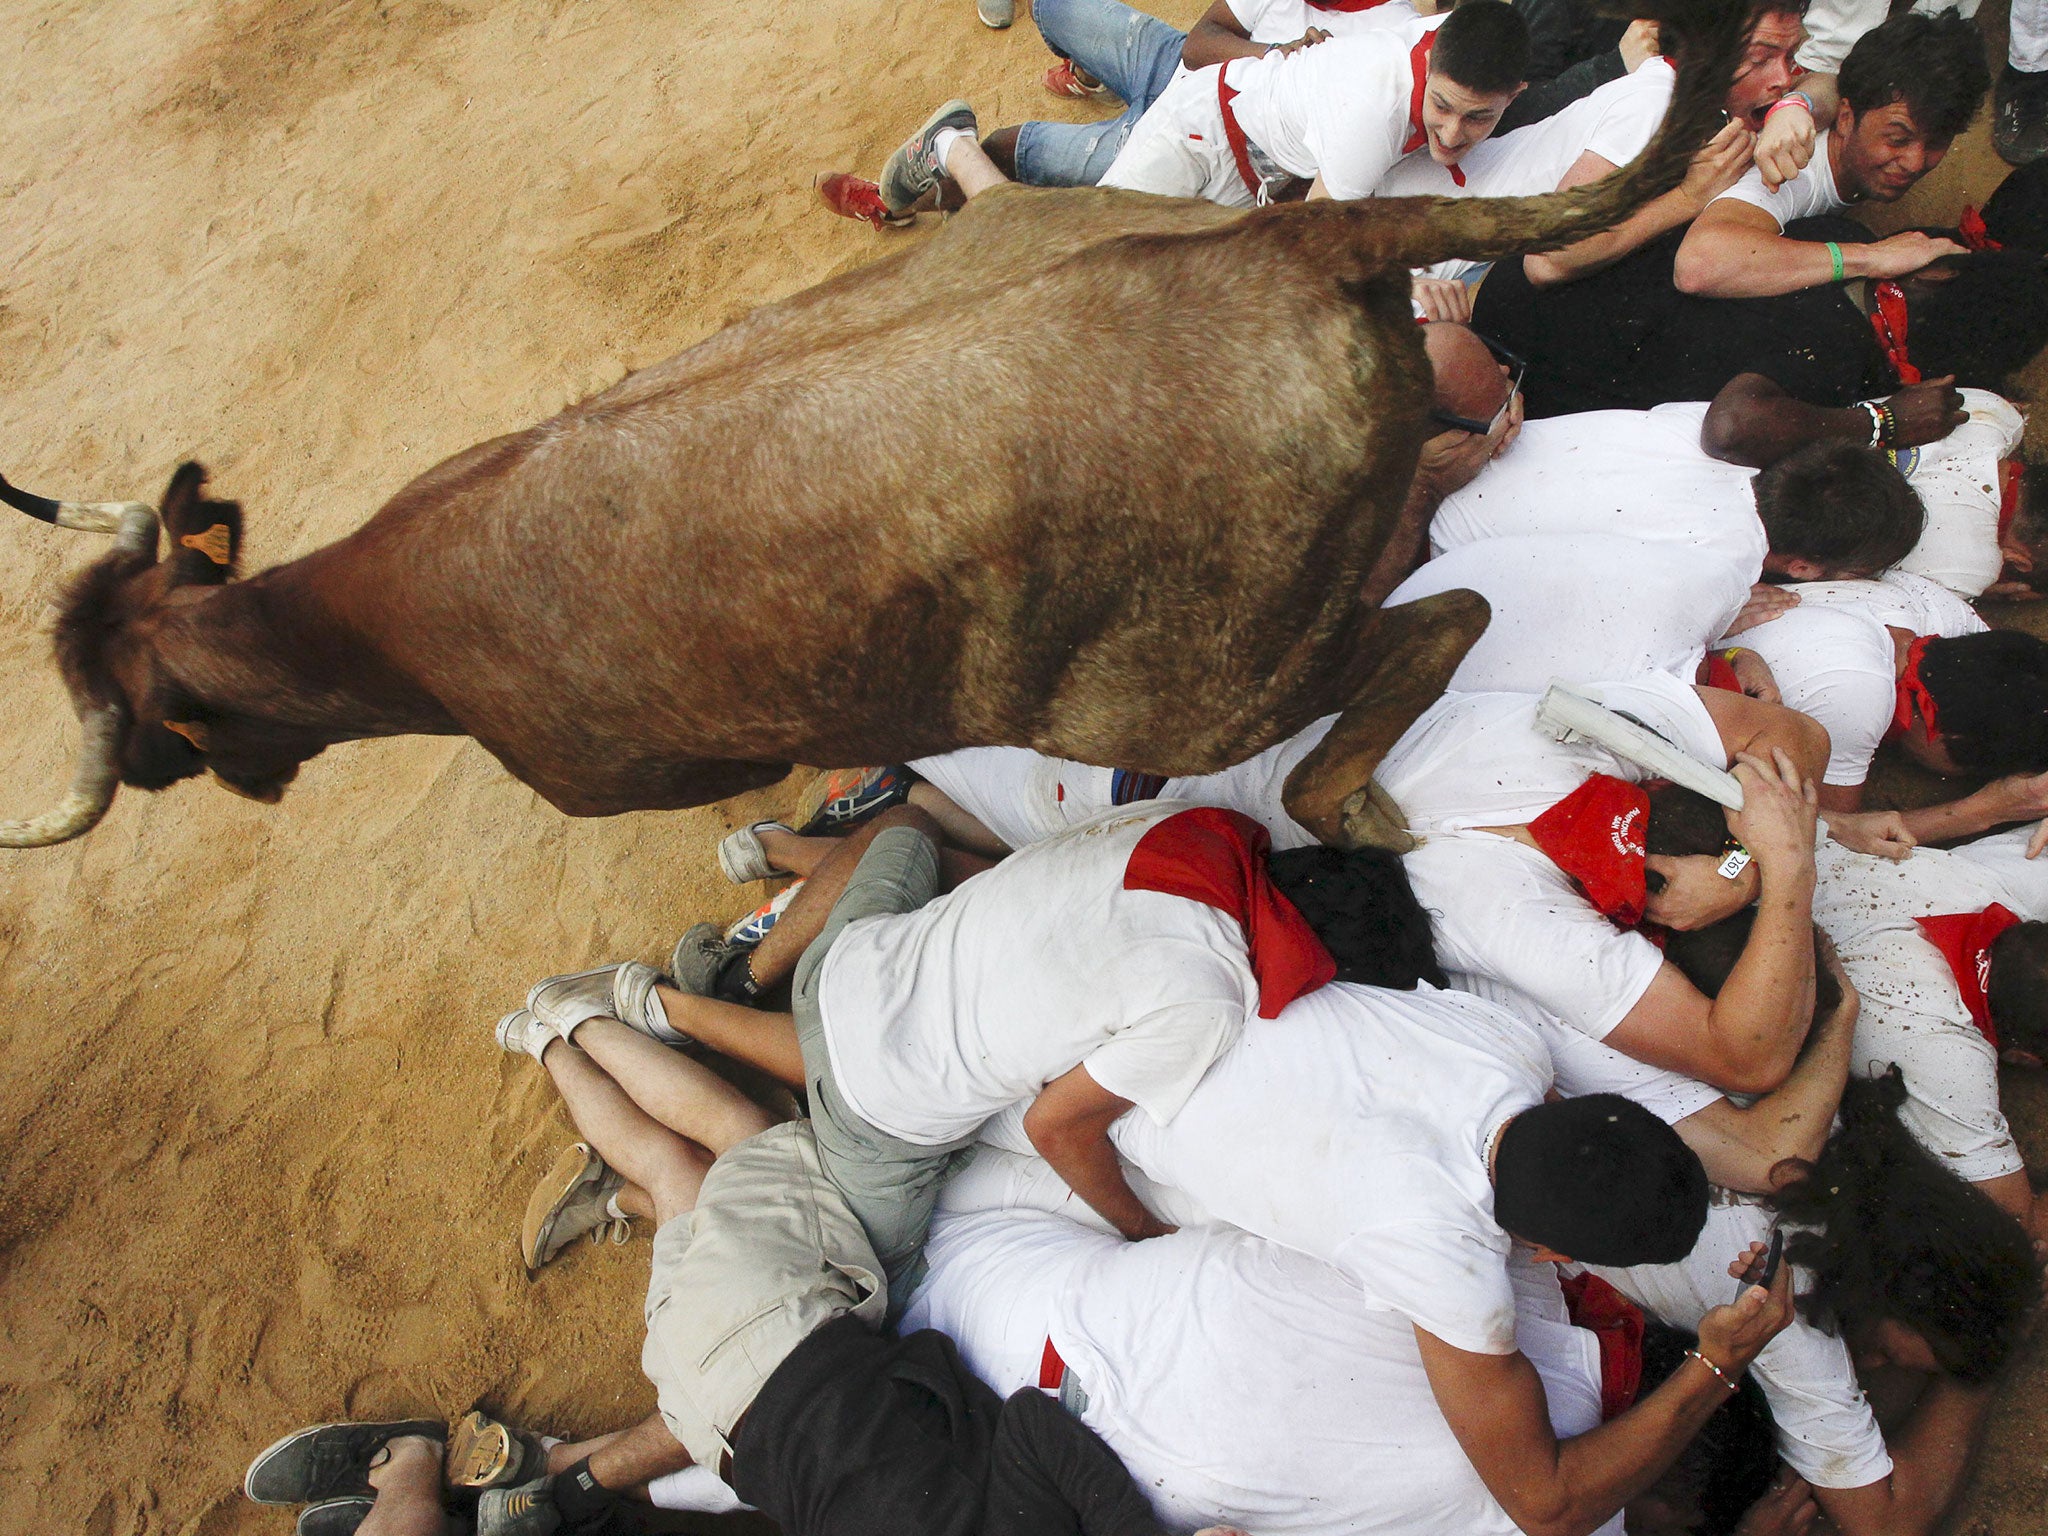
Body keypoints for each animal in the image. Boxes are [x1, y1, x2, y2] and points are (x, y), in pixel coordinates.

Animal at [4, 0, 1744, 856]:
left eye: (154, 731)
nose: (229, 787)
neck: (382, 618)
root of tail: (1291, 240)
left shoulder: (634, 771)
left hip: (1185, 696)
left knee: (1444, 620)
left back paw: (1347, 802)